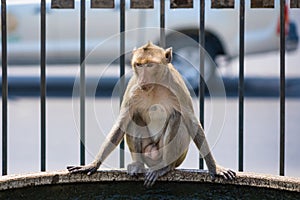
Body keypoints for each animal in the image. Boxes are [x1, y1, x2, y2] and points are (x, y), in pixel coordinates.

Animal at [67, 41, 236, 187]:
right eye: (139, 65)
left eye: (150, 65)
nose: (143, 79)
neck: (155, 86)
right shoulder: (133, 88)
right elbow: (122, 123)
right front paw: (93, 164)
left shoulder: (177, 87)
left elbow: (191, 122)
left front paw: (215, 168)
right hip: (147, 152)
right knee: (134, 118)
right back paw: (137, 166)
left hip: (174, 156)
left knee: (177, 118)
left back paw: (164, 168)